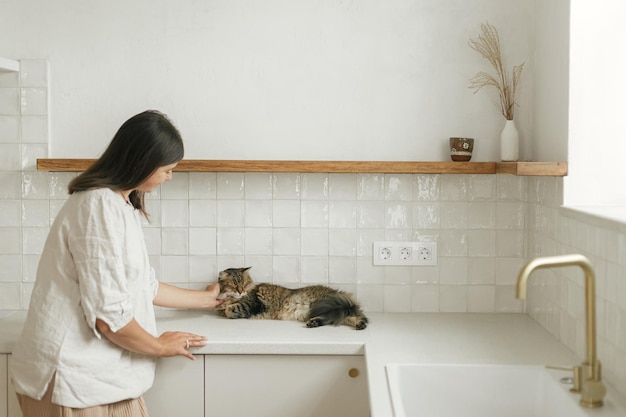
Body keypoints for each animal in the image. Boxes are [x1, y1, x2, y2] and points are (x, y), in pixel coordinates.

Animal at [217, 268, 368, 330]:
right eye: (234, 284)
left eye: (243, 283)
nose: (240, 291)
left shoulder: (254, 304)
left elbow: (230, 311)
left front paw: (230, 309)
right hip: (332, 311)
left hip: (327, 306)